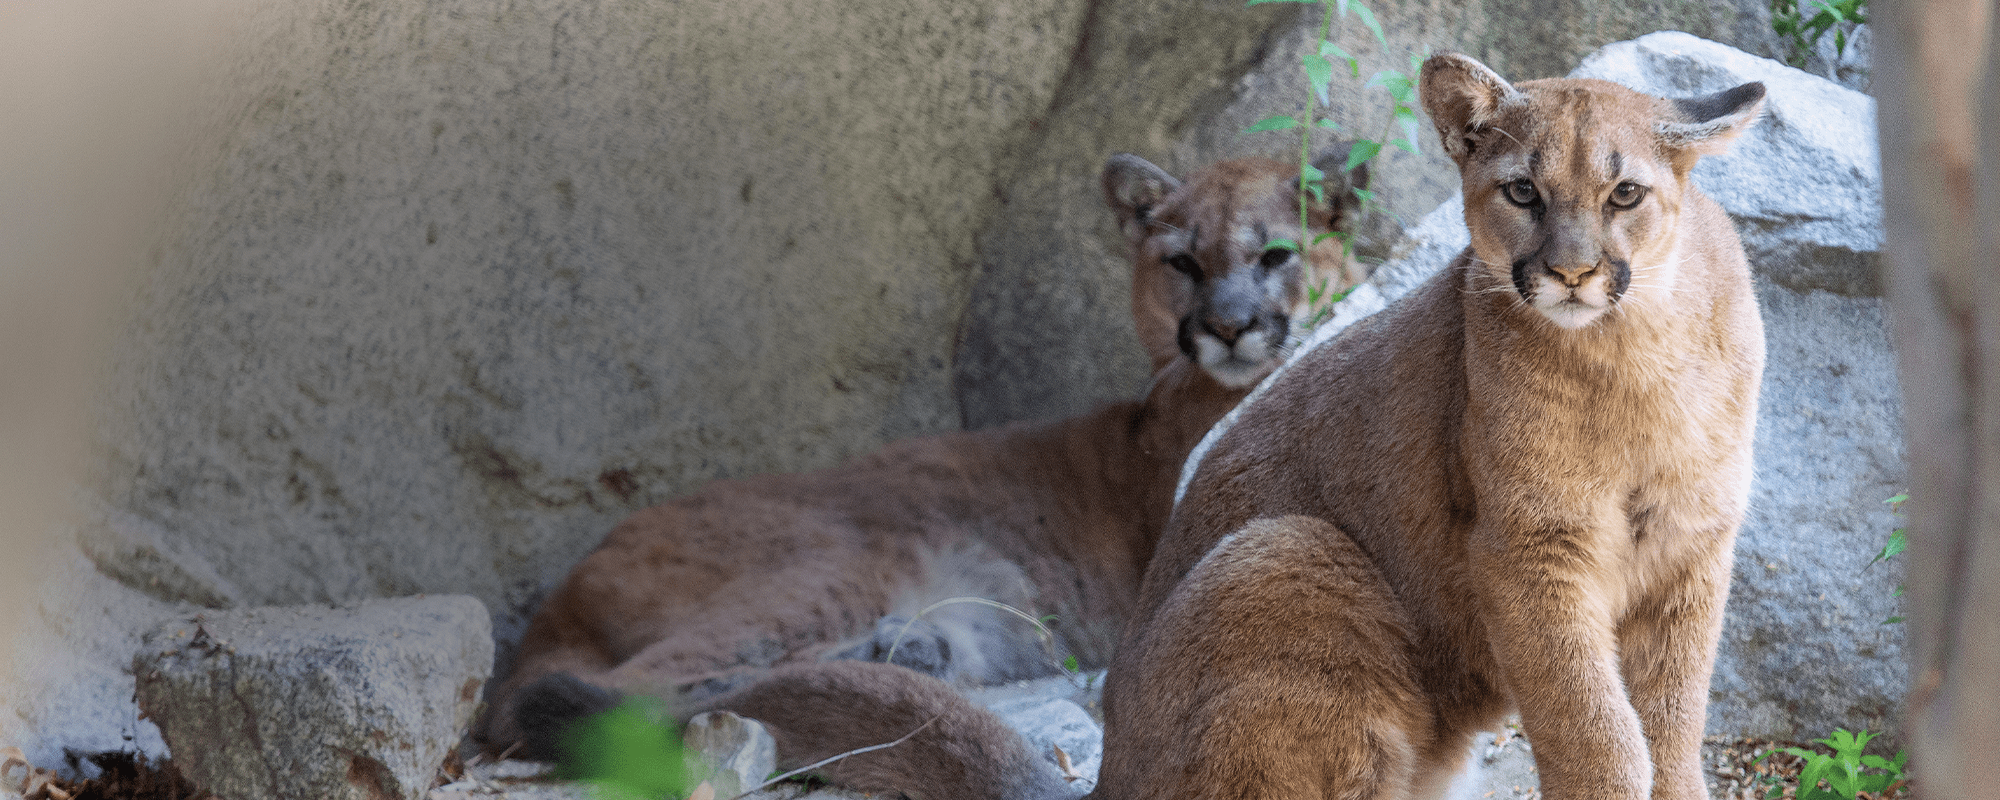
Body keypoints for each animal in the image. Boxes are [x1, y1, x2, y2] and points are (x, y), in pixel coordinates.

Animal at [476, 152, 1368, 800]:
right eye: (1182, 261)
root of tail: (560, 594)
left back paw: (906, 651)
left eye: (1275, 255)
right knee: (613, 694)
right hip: (834, 561)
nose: (1228, 326)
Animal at [1096, 54, 1768, 800]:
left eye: (1625, 194)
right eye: (1522, 191)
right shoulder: (1528, 550)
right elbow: (1594, 728)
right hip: (1289, 548)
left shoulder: (1690, 545)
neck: (1634, 352)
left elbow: (1672, 722)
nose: (1571, 272)